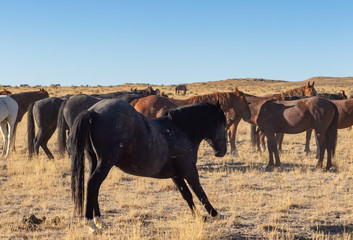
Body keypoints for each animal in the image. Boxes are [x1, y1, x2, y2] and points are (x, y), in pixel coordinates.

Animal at [69, 100, 226, 233]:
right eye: (224, 125)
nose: (222, 151)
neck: (181, 130)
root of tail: (94, 112)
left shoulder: (176, 175)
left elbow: (187, 195)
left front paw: (199, 216)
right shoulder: (190, 172)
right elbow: (201, 193)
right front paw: (215, 214)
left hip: (94, 161)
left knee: (93, 187)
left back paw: (99, 221)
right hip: (106, 163)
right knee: (92, 184)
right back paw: (91, 223)